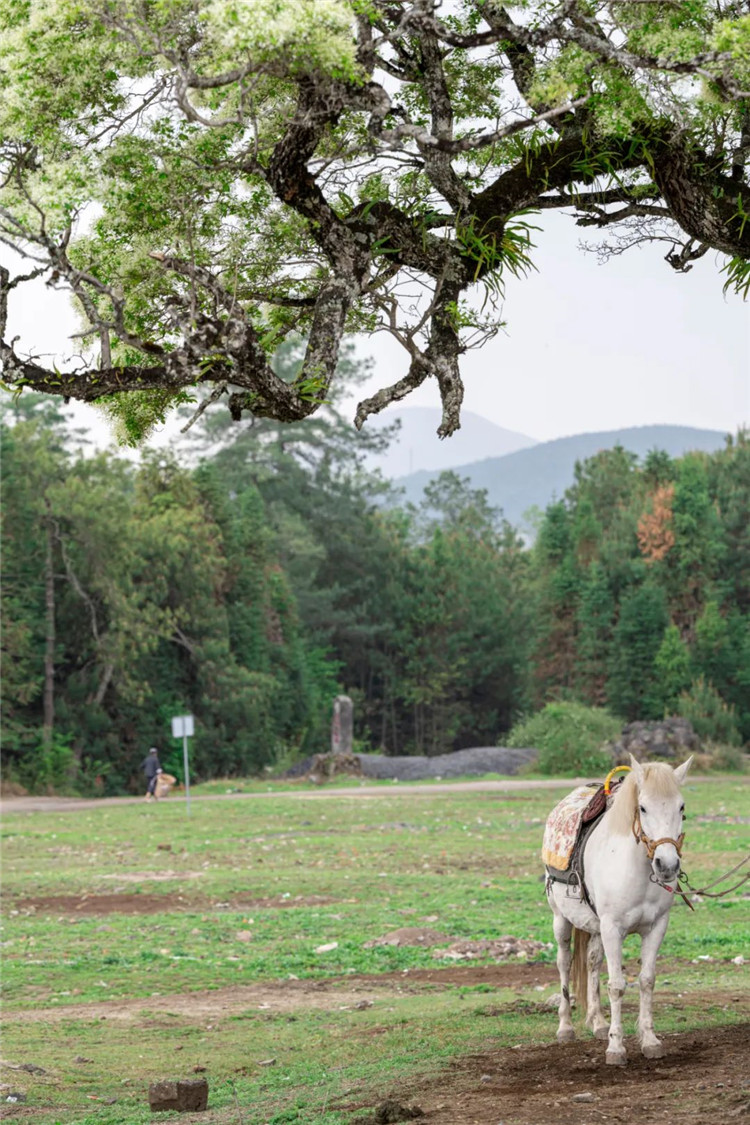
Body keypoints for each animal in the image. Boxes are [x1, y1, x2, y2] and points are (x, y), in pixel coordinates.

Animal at [546, 756, 692, 1062]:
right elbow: (616, 985)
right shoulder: (613, 929)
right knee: (564, 963)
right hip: (561, 919)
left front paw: (650, 1040)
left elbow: (647, 980)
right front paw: (616, 1047)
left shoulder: (656, 927)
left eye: (681, 806)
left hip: (595, 927)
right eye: (643, 807)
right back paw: (565, 1028)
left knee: (592, 962)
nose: (667, 865)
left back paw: (598, 1023)